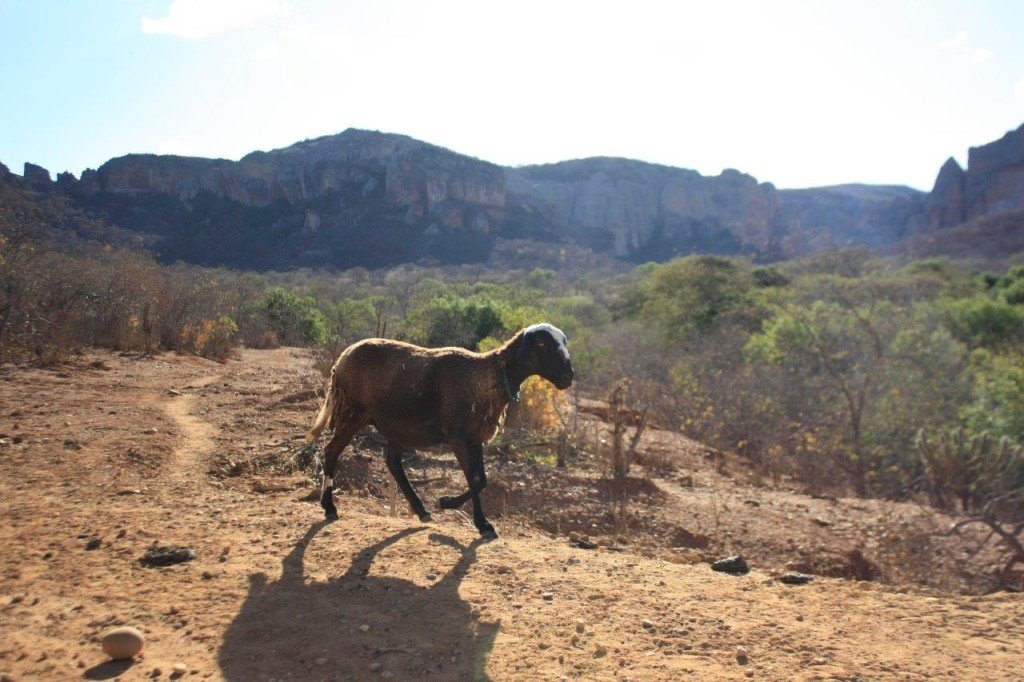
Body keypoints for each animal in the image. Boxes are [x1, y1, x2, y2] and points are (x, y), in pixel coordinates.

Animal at [307, 323, 573, 536]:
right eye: (542, 344)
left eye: (564, 342)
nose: (568, 377)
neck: (487, 375)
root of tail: (342, 357)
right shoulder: (457, 437)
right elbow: (474, 479)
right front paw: (480, 523)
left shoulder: (475, 438)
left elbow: (482, 480)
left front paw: (447, 504)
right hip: (352, 412)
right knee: (331, 451)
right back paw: (329, 507)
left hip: (394, 424)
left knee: (392, 462)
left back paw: (422, 510)